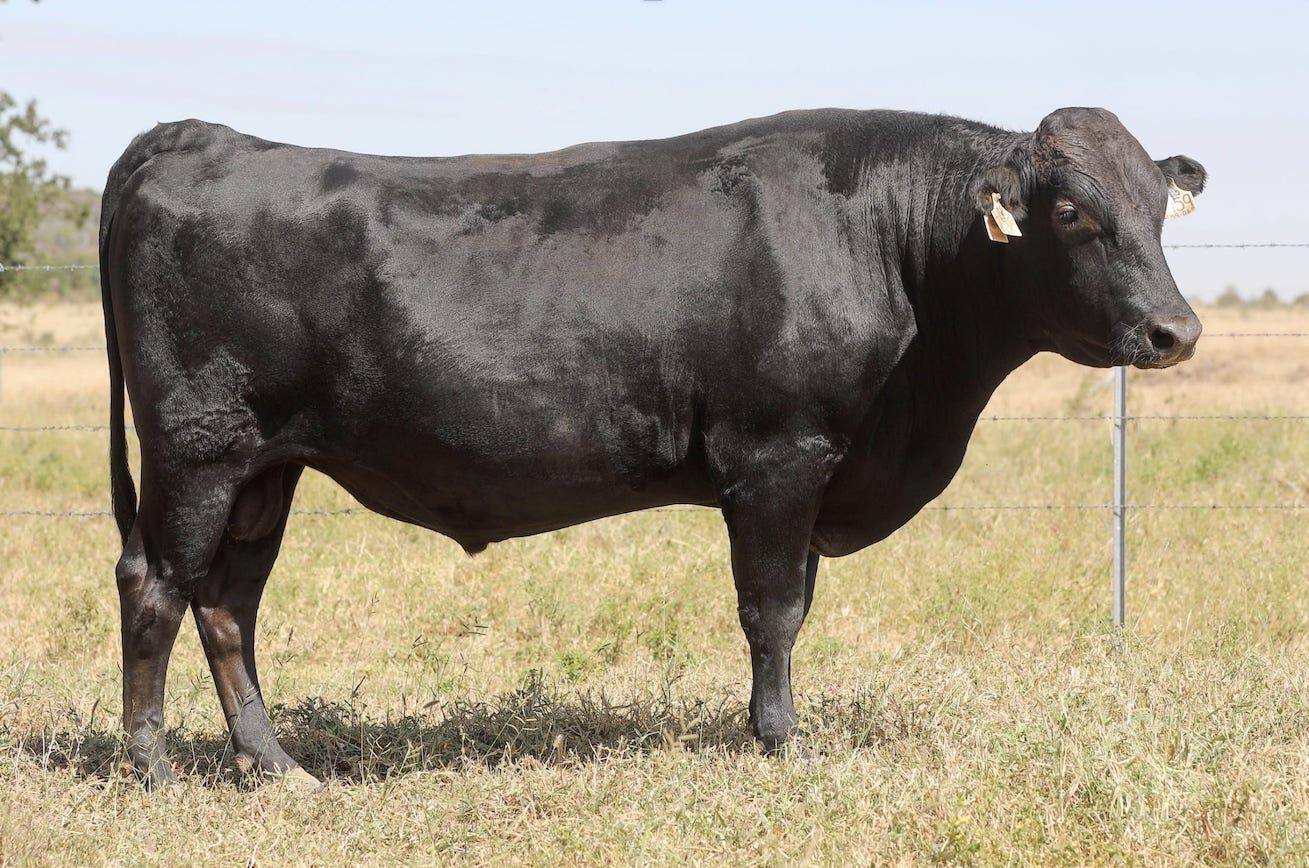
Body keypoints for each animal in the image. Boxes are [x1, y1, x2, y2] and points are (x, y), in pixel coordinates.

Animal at [99, 107, 1205, 789]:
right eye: (1071, 210)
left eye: (1158, 208)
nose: (1174, 331)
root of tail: (198, 136)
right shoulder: (778, 454)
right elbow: (772, 611)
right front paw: (780, 743)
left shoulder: (815, 468)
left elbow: (791, 608)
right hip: (198, 446)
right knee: (156, 584)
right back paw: (152, 766)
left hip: (265, 464)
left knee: (228, 604)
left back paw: (275, 765)